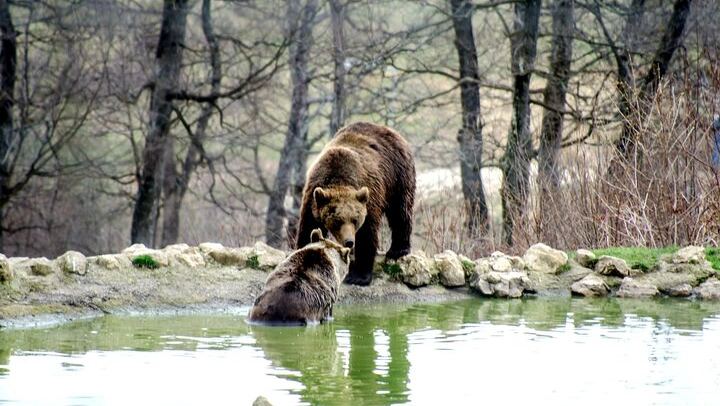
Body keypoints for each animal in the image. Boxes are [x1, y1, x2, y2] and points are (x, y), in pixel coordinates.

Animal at [295, 122, 416, 286]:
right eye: (337, 221)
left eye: (355, 219)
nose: (349, 242)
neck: (339, 178)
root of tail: (390, 131)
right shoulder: (313, 195)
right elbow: (308, 225)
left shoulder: (369, 197)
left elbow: (367, 233)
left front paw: (358, 275)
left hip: (398, 176)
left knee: (400, 210)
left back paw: (398, 250)